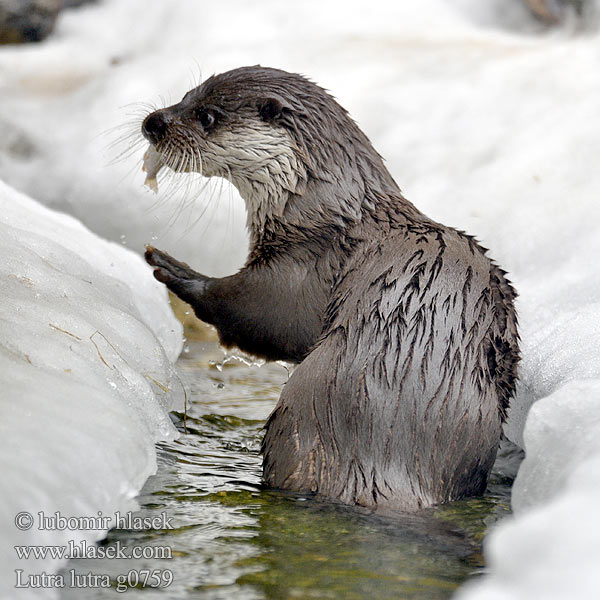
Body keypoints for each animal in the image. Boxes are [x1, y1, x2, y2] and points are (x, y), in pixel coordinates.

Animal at [142, 67, 520, 510]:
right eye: (186, 96)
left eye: (207, 116)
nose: (153, 122)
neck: (321, 212)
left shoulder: (306, 266)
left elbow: (263, 318)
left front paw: (175, 269)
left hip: (301, 413)